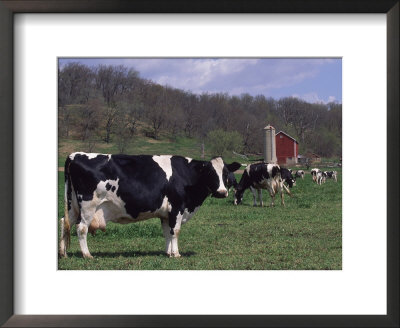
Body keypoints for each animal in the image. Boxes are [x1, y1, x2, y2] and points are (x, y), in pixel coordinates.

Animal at [58, 153, 241, 258]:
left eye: (226, 173)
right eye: (210, 173)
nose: (222, 192)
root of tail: (74, 155)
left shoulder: (166, 213)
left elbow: (167, 232)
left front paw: (168, 253)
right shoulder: (177, 207)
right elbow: (175, 231)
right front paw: (176, 254)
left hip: (72, 205)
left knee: (64, 223)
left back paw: (63, 253)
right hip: (88, 206)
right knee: (81, 228)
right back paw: (87, 255)